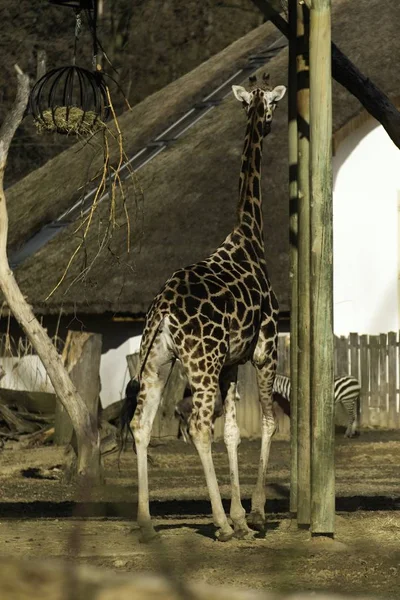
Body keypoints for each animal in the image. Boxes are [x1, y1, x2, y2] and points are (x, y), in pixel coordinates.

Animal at [126, 72, 286, 540]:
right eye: (272, 103)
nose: (269, 123)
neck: (250, 237)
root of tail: (162, 308)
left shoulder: (232, 362)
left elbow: (231, 432)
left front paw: (241, 515)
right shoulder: (265, 350)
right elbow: (268, 423)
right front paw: (254, 515)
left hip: (159, 361)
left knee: (141, 424)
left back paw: (146, 521)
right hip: (201, 363)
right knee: (196, 426)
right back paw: (219, 524)